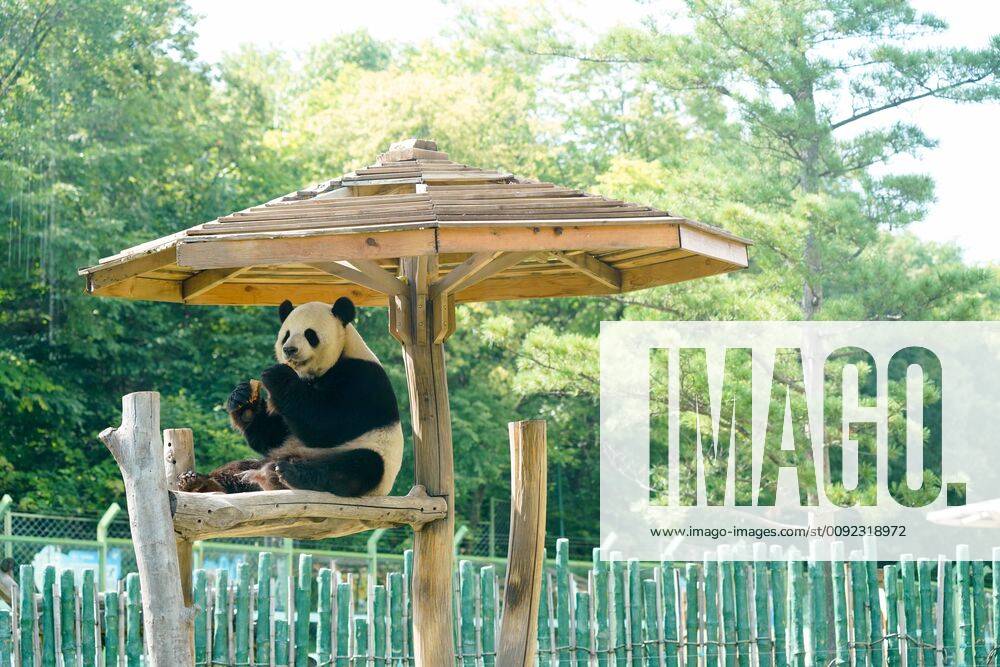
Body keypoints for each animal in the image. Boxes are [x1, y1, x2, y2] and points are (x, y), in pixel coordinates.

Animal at [178, 297, 403, 497]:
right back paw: (202, 483)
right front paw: (243, 400)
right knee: (239, 466)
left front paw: (277, 375)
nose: (289, 350)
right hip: (273, 456)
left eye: (310, 334)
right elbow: (273, 434)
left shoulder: (363, 379)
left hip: (369, 458)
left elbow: (328, 424)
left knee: (358, 467)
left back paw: (291, 474)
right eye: (286, 335)